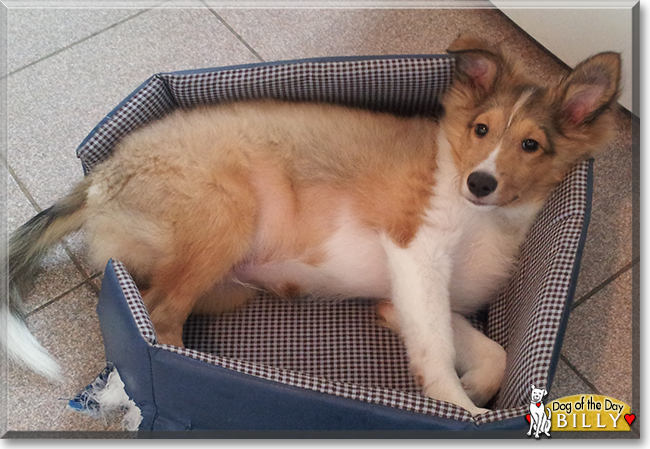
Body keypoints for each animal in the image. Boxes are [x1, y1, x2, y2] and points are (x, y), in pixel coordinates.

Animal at [1, 36, 616, 416]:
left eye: (531, 145)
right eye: (482, 129)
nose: (479, 183)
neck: (487, 216)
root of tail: (99, 175)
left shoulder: (414, 296)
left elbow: (493, 355)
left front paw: (473, 387)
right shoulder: (415, 252)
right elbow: (437, 350)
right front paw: (456, 406)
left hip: (227, 285)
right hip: (225, 216)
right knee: (159, 322)